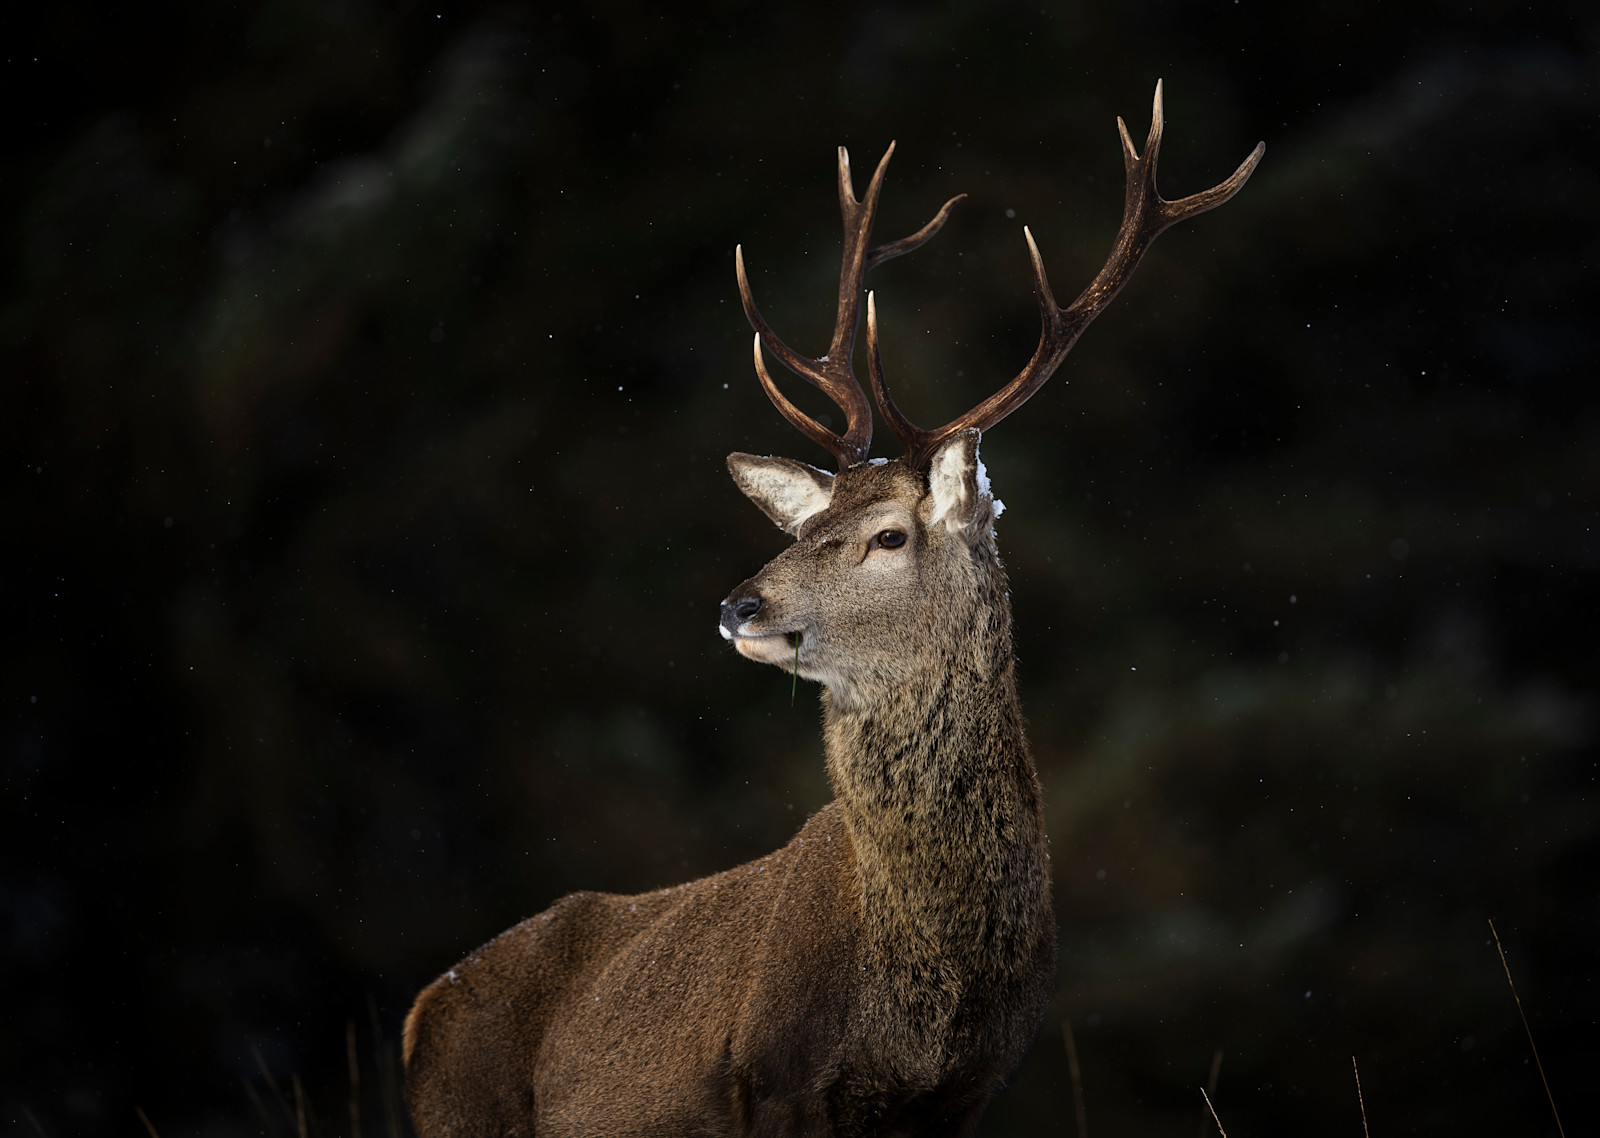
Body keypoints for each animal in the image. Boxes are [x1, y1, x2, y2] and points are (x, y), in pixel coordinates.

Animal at [402, 82, 1262, 1137]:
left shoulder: (970, 1089)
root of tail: (419, 1008)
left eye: (888, 536)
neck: (928, 987)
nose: (738, 605)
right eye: (810, 525)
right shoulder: (775, 1077)